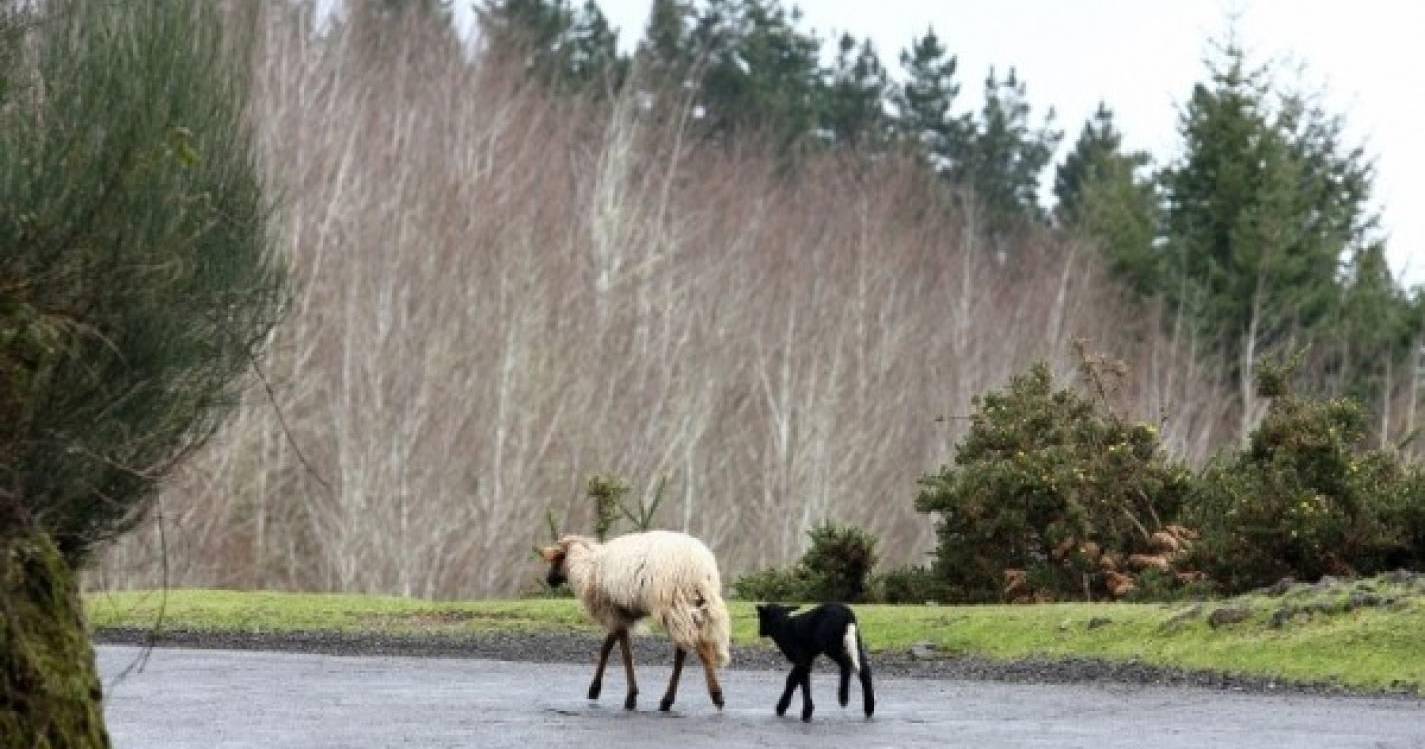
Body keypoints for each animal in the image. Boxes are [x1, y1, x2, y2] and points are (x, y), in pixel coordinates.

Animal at [535, 532, 729, 714]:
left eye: (556, 559)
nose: (549, 580)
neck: (587, 567)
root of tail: (702, 567)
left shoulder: (612, 611)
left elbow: (625, 654)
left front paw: (630, 697)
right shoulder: (620, 612)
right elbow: (607, 647)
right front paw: (595, 689)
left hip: (675, 604)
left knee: (695, 650)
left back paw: (712, 696)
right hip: (694, 606)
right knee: (689, 649)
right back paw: (672, 700)